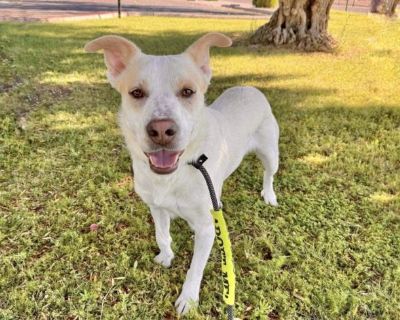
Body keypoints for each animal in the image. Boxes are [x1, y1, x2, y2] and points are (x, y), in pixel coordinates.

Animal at [84, 32, 278, 316]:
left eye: (188, 91)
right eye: (136, 93)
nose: (162, 130)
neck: (175, 174)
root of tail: (249, 88)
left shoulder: (208, 225)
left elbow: (195, 268)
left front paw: (188, 298)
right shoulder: (156, 208)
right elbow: (162, 235)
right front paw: (166, 256)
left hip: (271, 152)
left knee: (269, 173)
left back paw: (269, 194)